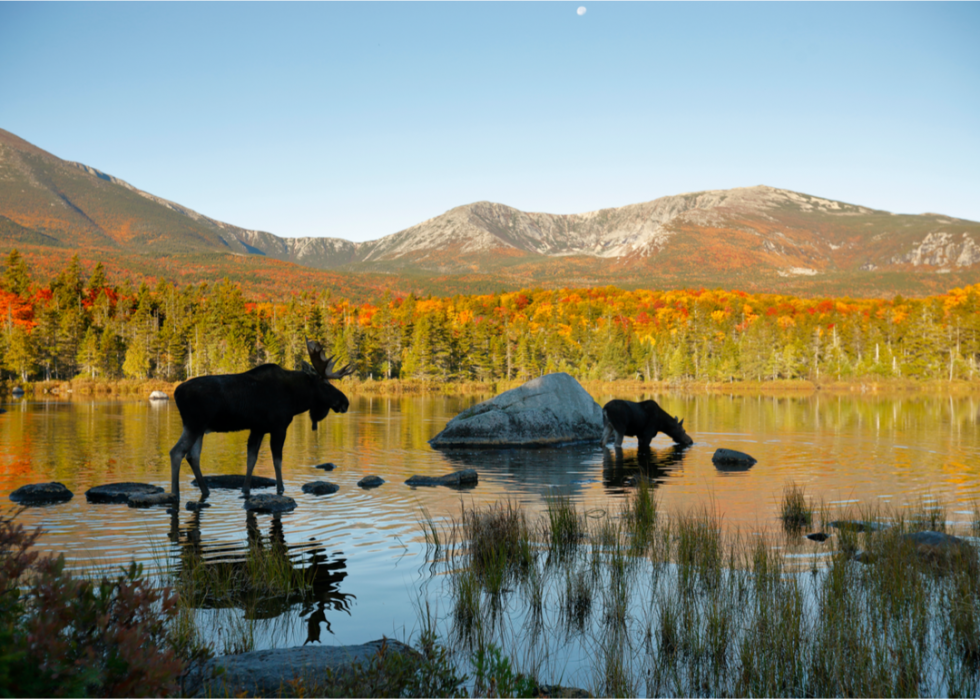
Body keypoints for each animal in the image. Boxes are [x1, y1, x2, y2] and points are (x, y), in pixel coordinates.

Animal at [170, 340, 354, 504]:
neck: (296, 399)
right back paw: (175, 494)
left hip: (200, 428)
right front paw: (280, 489)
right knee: (176, 452)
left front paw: (245, 489)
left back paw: (205, 490)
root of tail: (176, 392)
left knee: (192, 456)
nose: (345, 402)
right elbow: (277, 461)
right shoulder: (279, 427)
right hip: (194, 424)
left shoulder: (257, 428)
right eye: (326, 385)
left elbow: (251, 459)